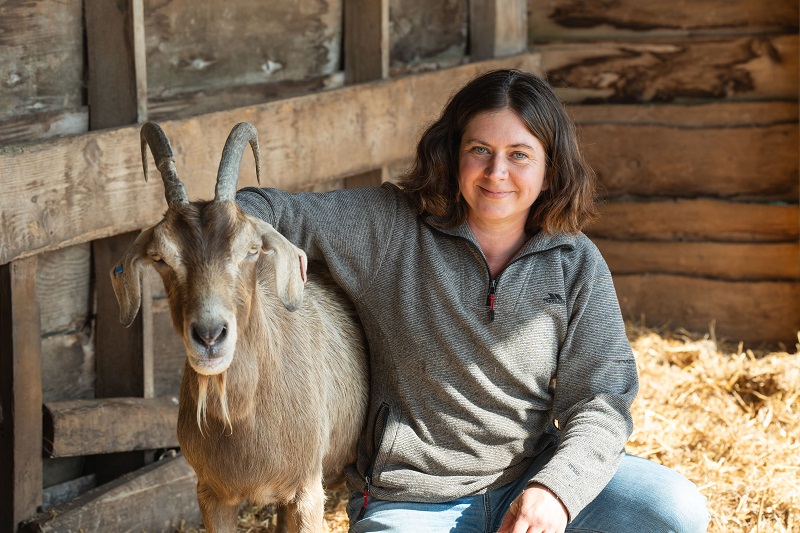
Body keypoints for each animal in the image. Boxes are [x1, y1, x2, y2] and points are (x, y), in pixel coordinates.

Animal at [110, 122, 369, 533]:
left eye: (251, 249)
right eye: (160, 258)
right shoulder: (211, 494)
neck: (244, 415)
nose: (210, 335)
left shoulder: (307, 492)